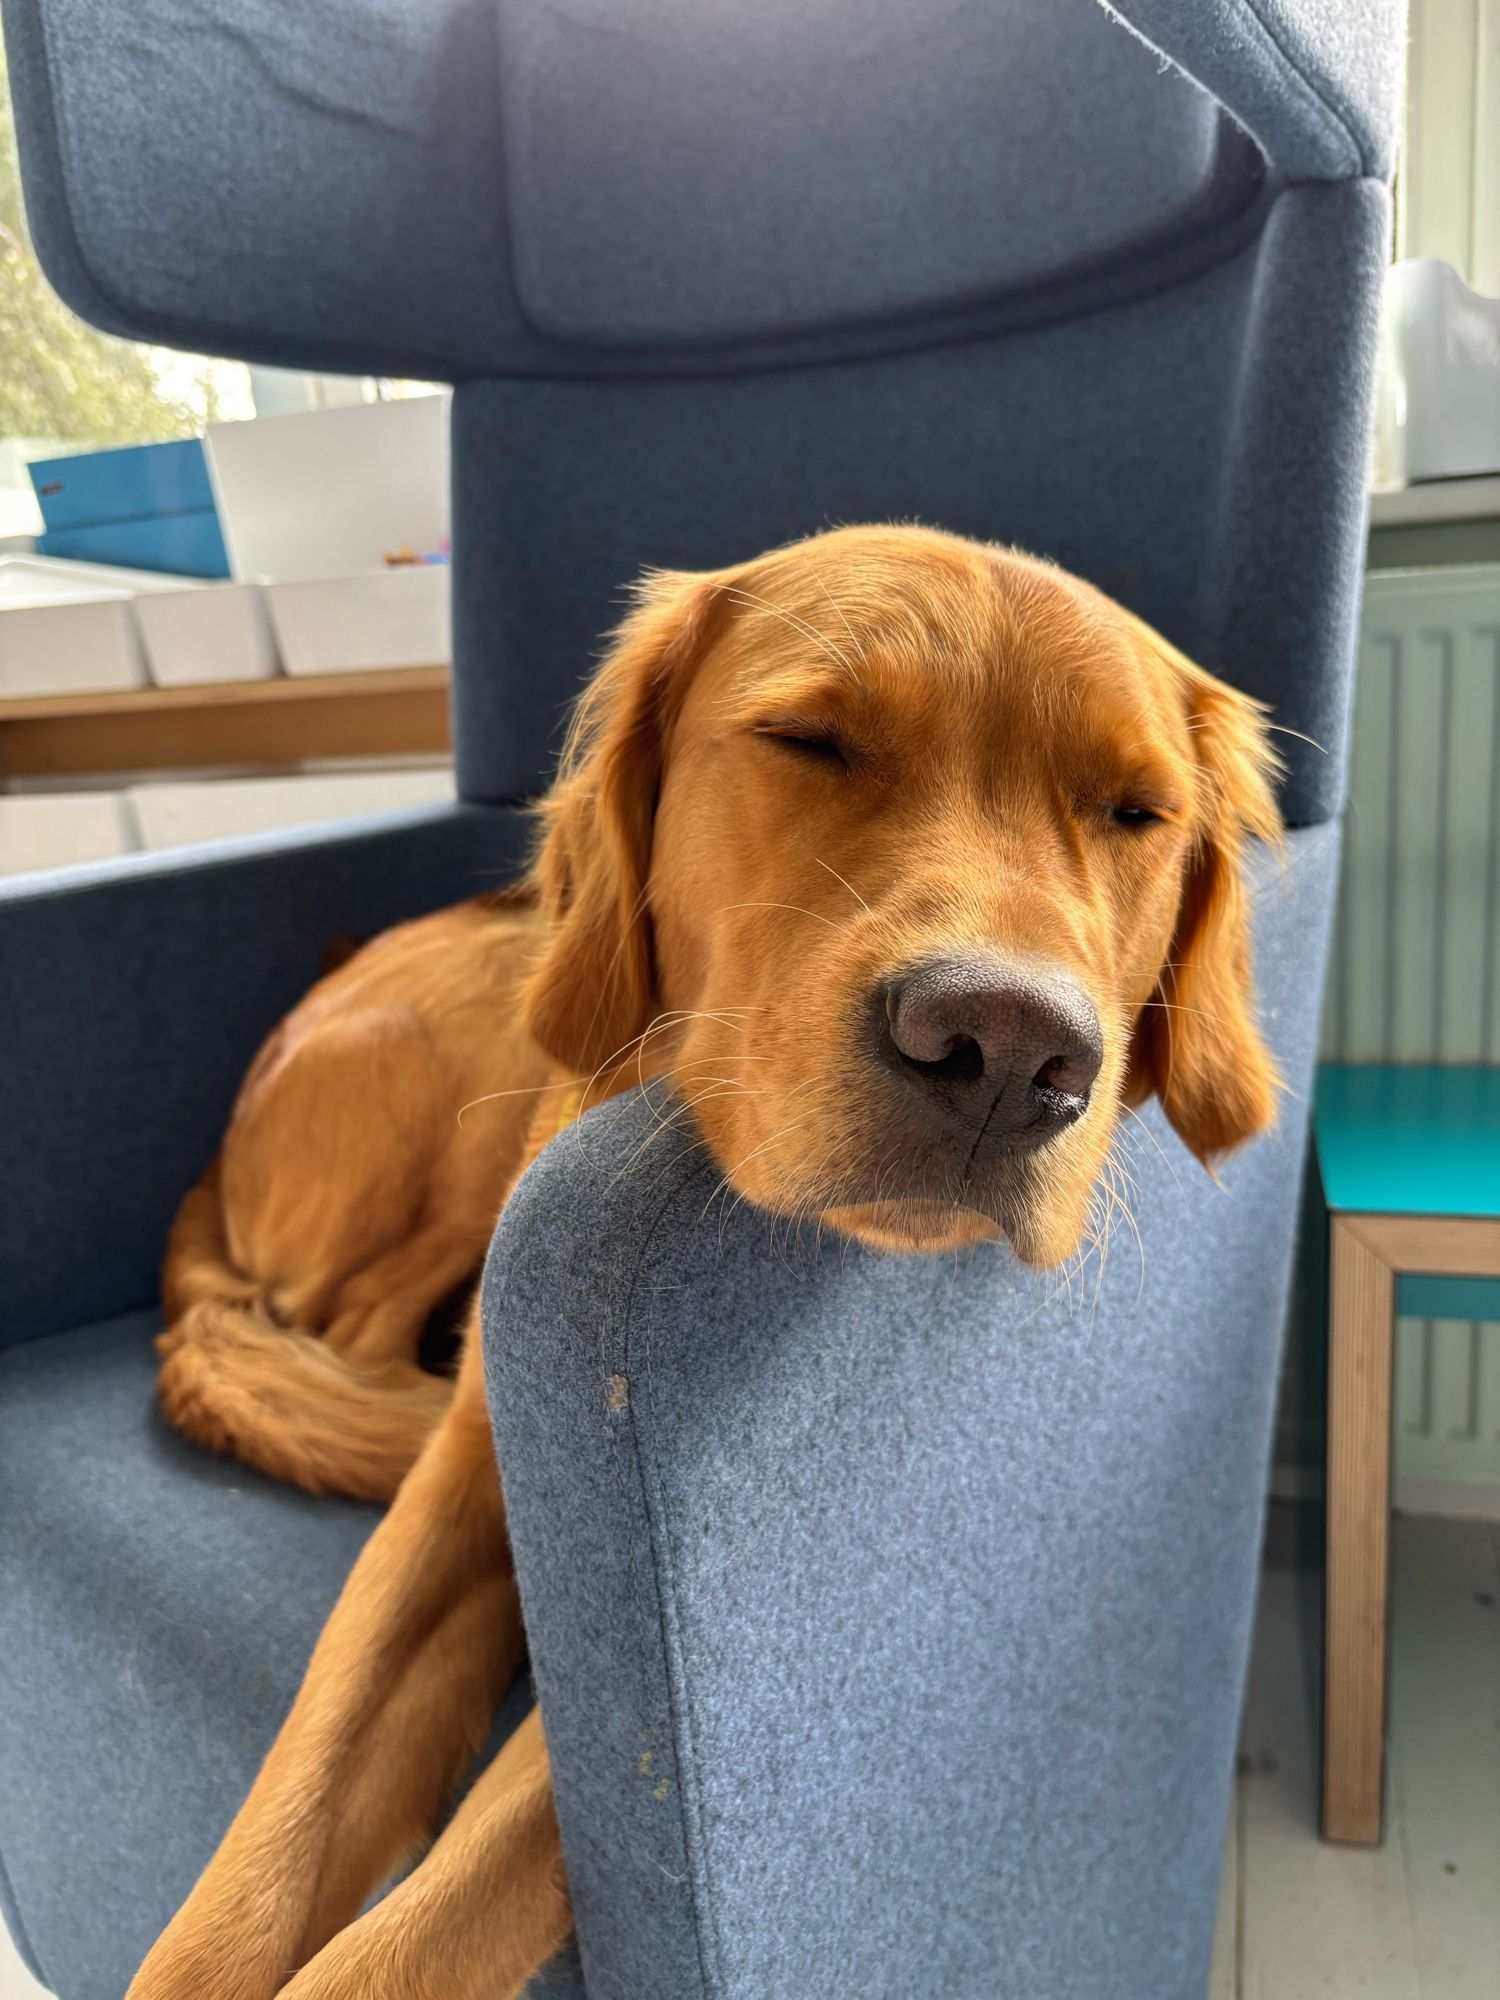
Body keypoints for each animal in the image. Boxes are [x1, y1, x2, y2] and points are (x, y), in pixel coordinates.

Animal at [132, 524, 1280, 1992]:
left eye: (1138, 812)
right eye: (810, 740)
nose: (1011, 1050)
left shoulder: (627, 1689)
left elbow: (410, 1938)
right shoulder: (461, 1521)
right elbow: (269, 1842)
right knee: (337, 1329)